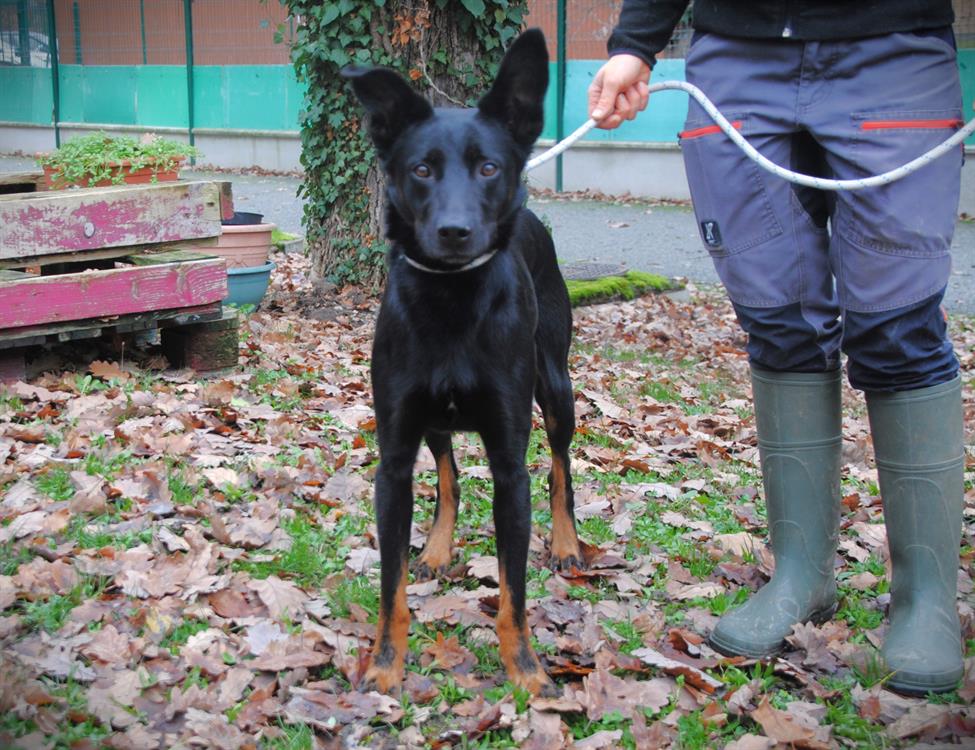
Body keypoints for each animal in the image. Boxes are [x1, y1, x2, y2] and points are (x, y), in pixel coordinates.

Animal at [346, 29, 580, 700]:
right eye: (421, 169)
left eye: (489, 167)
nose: (455, 232)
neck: (451, 300)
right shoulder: (395, 457)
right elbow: (391, 584)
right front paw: (385, 663)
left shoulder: (509, 465)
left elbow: (514, 591)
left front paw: (526, 670)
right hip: (433, 422)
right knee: (448, 475)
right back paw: (437, 548)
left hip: (557, 386)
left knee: (561, 468)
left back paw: (567, 542)